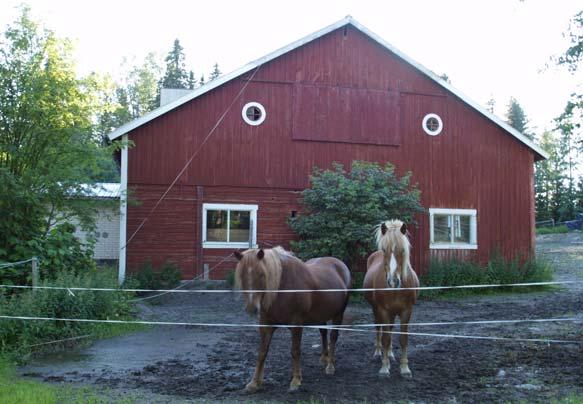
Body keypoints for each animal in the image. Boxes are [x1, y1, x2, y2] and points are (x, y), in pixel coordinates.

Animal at [234, 246, 352, 392]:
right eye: (241, 275)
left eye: (262, 274)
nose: (251, 308)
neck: (282, 288)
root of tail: (341, 265)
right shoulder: (266, 325)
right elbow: (262, 352)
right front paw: (255, 382)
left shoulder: (296, 324)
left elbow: (295, 351)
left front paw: (296, 380)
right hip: (321, 315)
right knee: (323, 332)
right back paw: (324, 357)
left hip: (338, 314)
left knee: (333, 337)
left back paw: (330, 366)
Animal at [364, 219, 420, 378]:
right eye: (384, 250)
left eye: (403, 250)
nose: (393, 281)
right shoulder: (382, 310)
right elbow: (385, 338)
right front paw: (384, 368)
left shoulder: (407, 311)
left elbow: (403, 338)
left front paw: (405, 368)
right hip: (376, 310)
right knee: (379, 328)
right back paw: (378, 352)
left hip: (393, 313)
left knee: (390, 328)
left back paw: (389, 354)